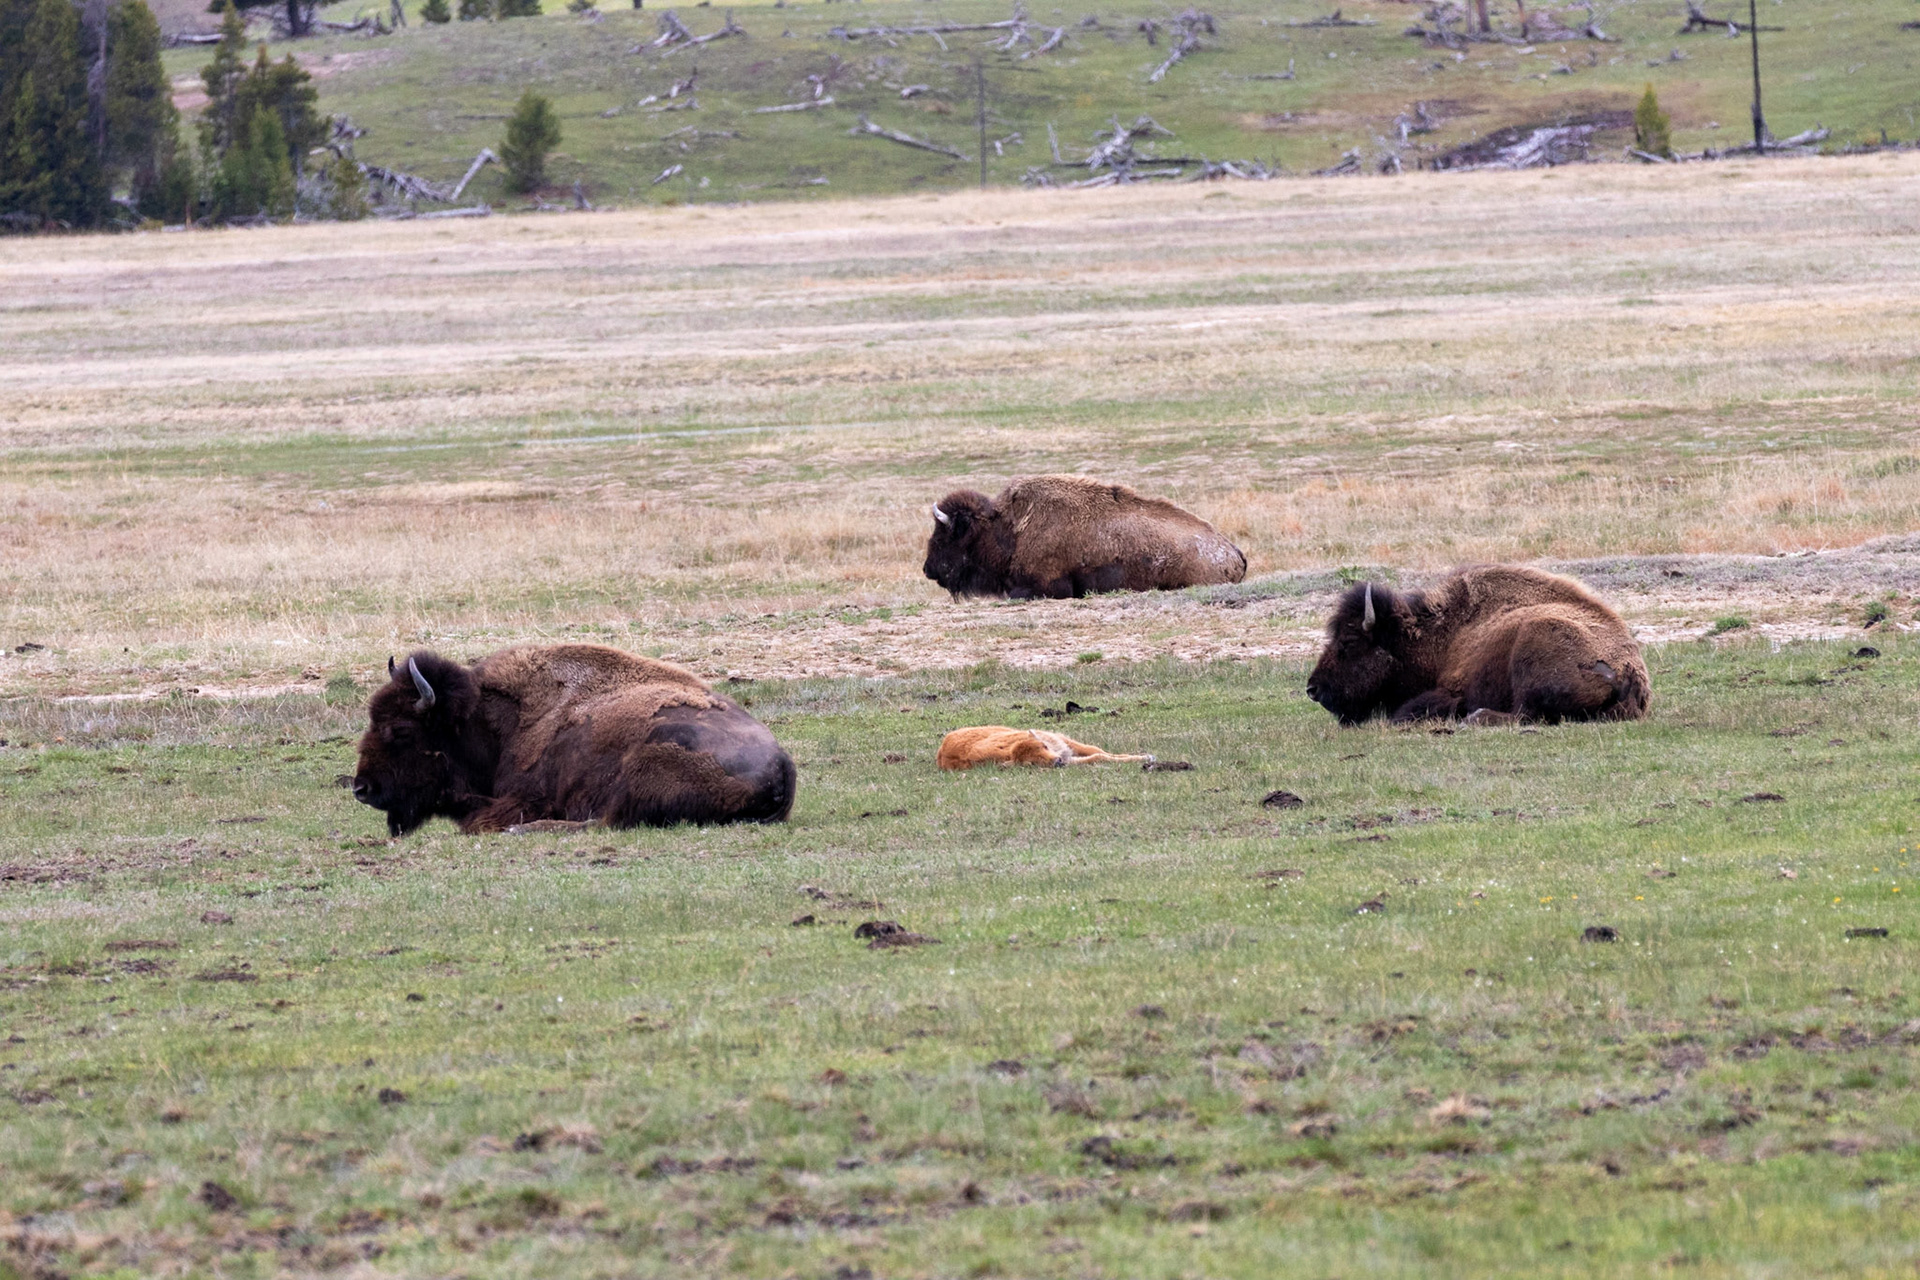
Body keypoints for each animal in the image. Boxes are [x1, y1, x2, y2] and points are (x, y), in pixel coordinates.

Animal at [350, 643, 796, 835]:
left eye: (402, 730)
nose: (361, 789)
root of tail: (783, 768)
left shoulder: (526, 797)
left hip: (644, 769)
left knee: (603, 823)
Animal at [1304, 565, 1650, 727]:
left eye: (1349, 641)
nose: (1312, 689)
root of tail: (1631, 672)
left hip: (1532, 646)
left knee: (1524, 715)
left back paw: (1475, 717)